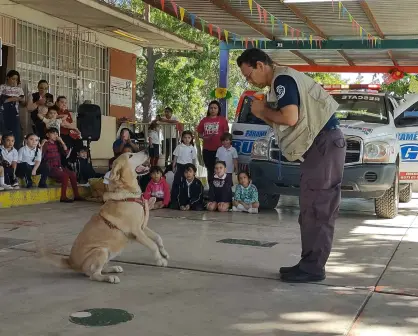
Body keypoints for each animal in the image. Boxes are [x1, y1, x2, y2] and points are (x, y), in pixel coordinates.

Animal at [40, 152, 168, 284]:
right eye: (130, 156)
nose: (147, 151)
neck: (127, 192)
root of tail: (71, 262)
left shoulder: (142, 227)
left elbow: (158, 238)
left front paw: (164, 253)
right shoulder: (137, 231)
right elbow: (152, 245)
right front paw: (160, 260)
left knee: (97, 270)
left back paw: (112, 268)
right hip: (101, 250)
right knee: (93, 275)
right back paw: (109, 277)